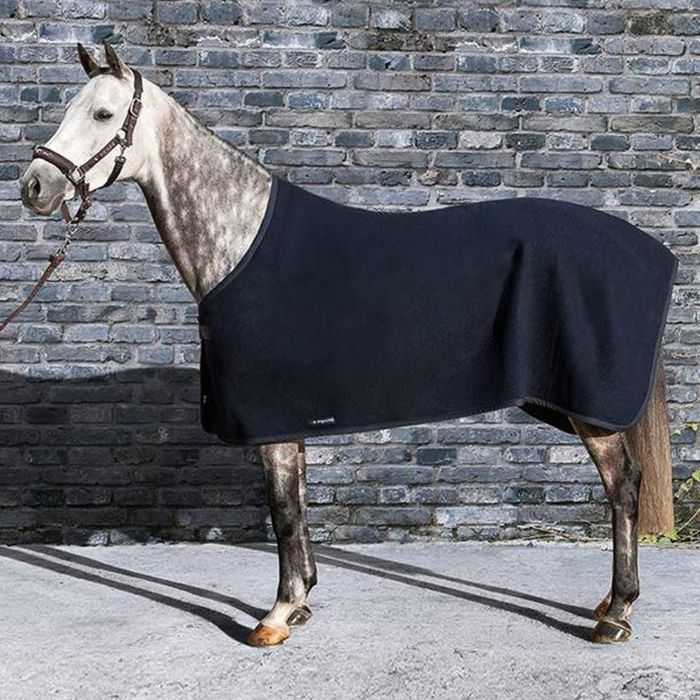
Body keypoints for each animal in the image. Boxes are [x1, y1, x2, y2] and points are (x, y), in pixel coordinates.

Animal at [18, 44, 676, 646]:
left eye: (103, 114)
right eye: (68, 107)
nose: (34, 186)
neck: (240, 237)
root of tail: (652, 251)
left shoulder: (270, 417)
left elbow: (283, 513)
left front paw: (276, 616)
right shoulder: (289, 418)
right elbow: (298, 505)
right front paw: (303, 600)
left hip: (588, 408)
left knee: (623, 484)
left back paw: (616, 613)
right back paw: (607, 604)